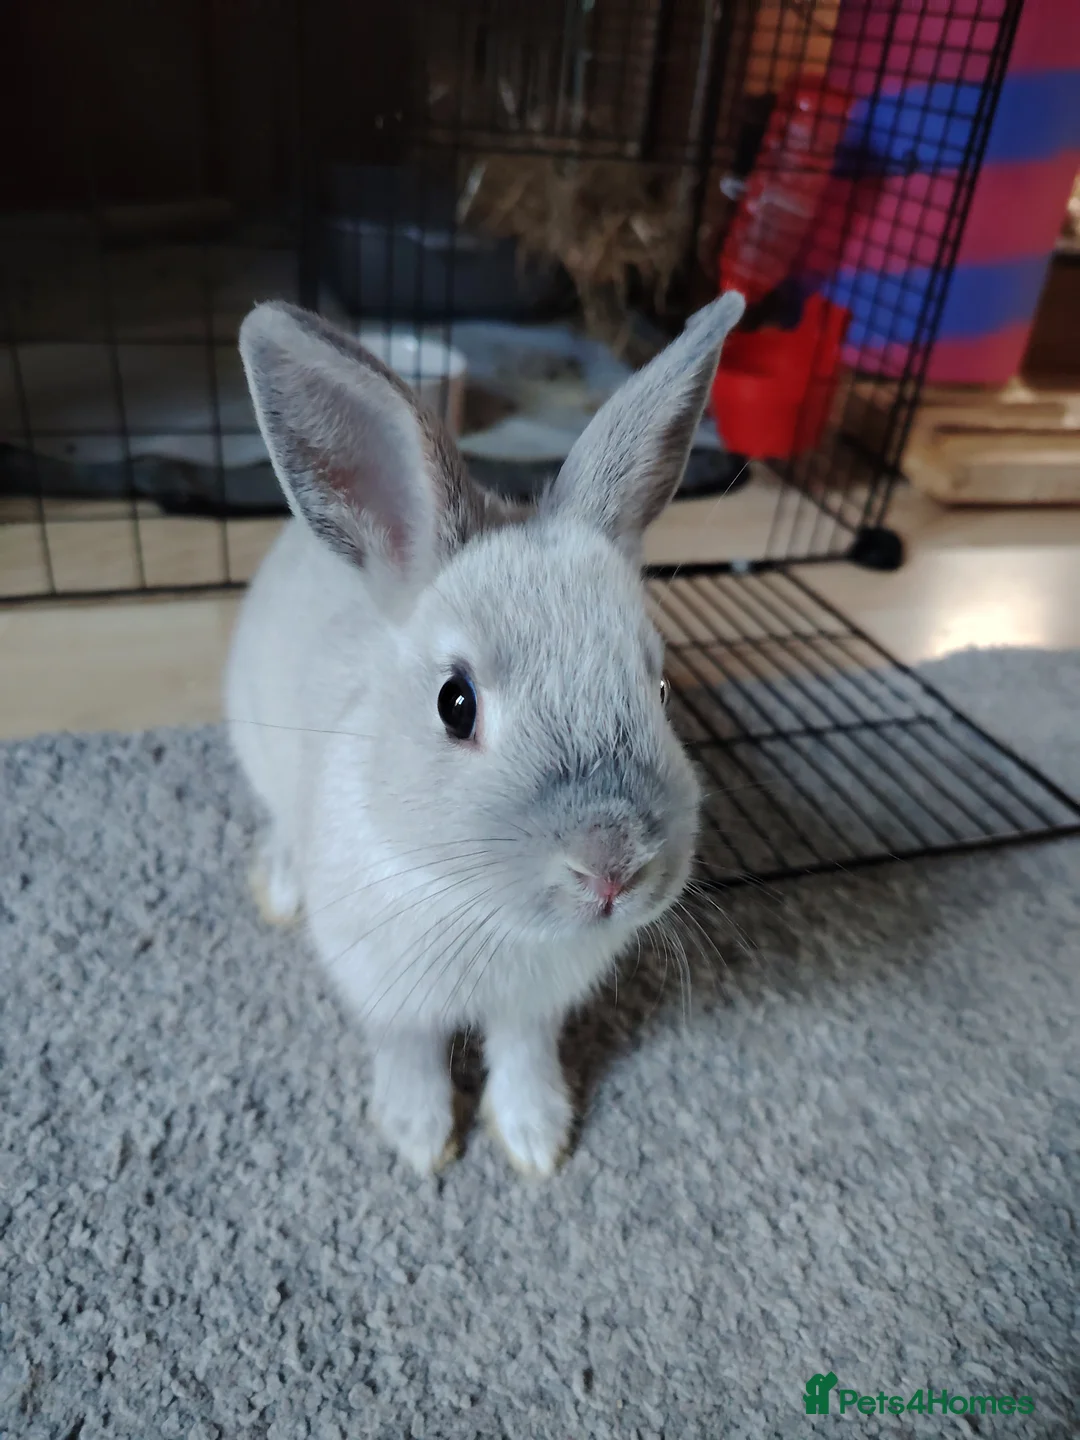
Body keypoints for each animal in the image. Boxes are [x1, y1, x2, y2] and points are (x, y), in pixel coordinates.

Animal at [224, 290, 745, 1177]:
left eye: (659, 685)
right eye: (454, 704)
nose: (612, 868)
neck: (479, 905)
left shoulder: (533, 1009)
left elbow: (524, 1055)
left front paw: (537, 1141)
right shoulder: (388, 996)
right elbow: (410, 1055)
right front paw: (418, 1139)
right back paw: (281, 888)